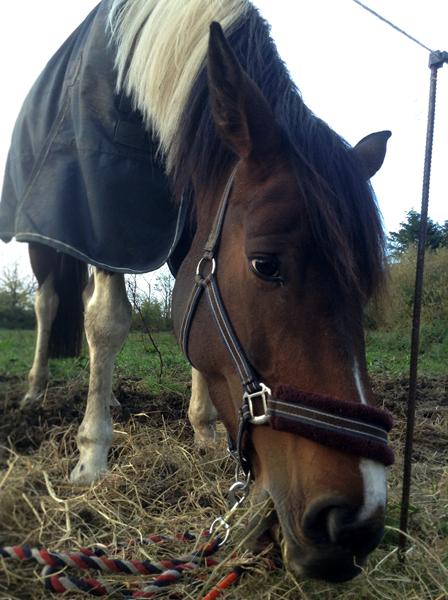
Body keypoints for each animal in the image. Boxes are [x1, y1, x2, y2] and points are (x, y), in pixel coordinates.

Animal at [0, 0, 396, 580]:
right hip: (48, 240)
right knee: (49, 304)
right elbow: (106, 323)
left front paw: (204, 432)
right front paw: (91, 457)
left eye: (364, 286)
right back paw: (36, 389)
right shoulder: (106, 222)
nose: (353, 526)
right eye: (265, 264)